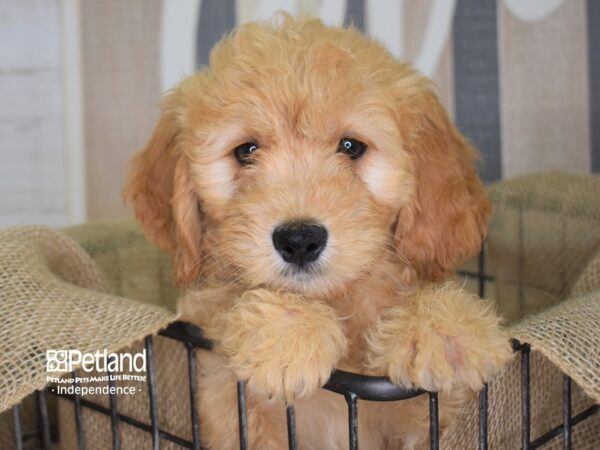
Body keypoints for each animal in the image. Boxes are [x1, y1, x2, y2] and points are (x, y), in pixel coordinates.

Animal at [124, 14, 512, 450]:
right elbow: (223, 304)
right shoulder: (221, 392)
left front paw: (445, 328)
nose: (298, 240)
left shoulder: (429, 420)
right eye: (246, 151)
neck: (335, 300)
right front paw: (285, 334)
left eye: (351, 146)